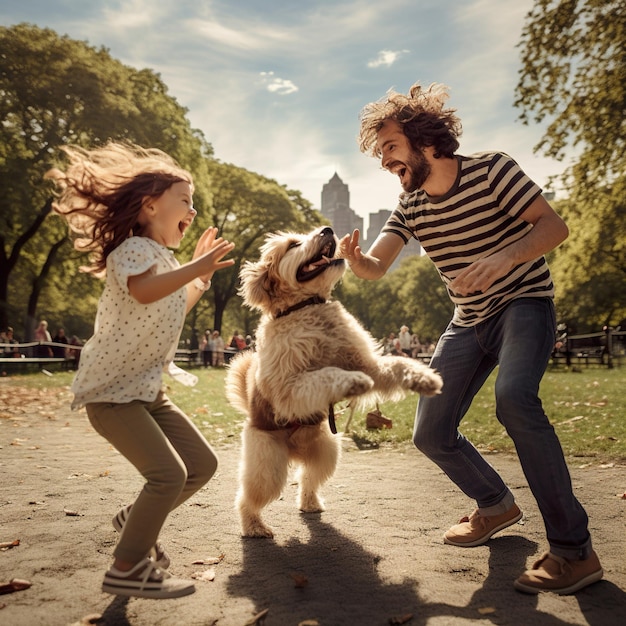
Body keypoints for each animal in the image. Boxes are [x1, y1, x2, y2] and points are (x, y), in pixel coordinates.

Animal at [227, 225, 442, 536]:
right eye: (293, 245)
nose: (327, 229)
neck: (307, 307)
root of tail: (294, 451)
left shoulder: (368, 364)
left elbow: (397, 363)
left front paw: (425, 377)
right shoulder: (288, 388)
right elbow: (325, 374)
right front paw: (354, 381)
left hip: (327, 453)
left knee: (307, 480)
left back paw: (311, 503)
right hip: (267, 467)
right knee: (247, 499)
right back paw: (254, 526)